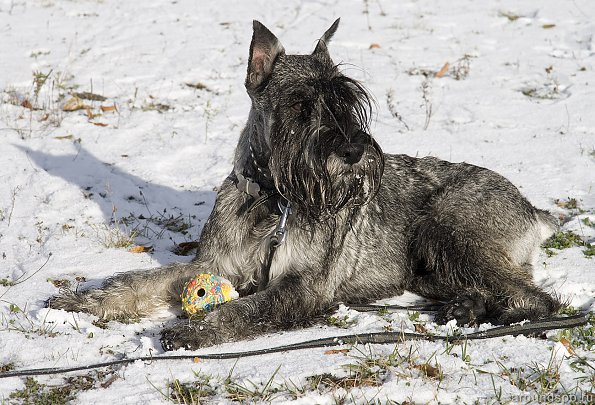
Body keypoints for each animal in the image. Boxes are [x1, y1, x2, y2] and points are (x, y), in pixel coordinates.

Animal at [49, 19, 560, 348]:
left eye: (349, 101)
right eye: (299, 106)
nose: (354, 151)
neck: (272, 201)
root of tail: (531, 209)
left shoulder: (301, 286)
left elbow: (243, 309)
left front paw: (193, 330)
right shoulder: (214, 265)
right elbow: (139, 281)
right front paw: (79, 300)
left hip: (449, 228)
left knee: (540, 298)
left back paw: (499, 316)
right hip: (433, 261)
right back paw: (466, 308)